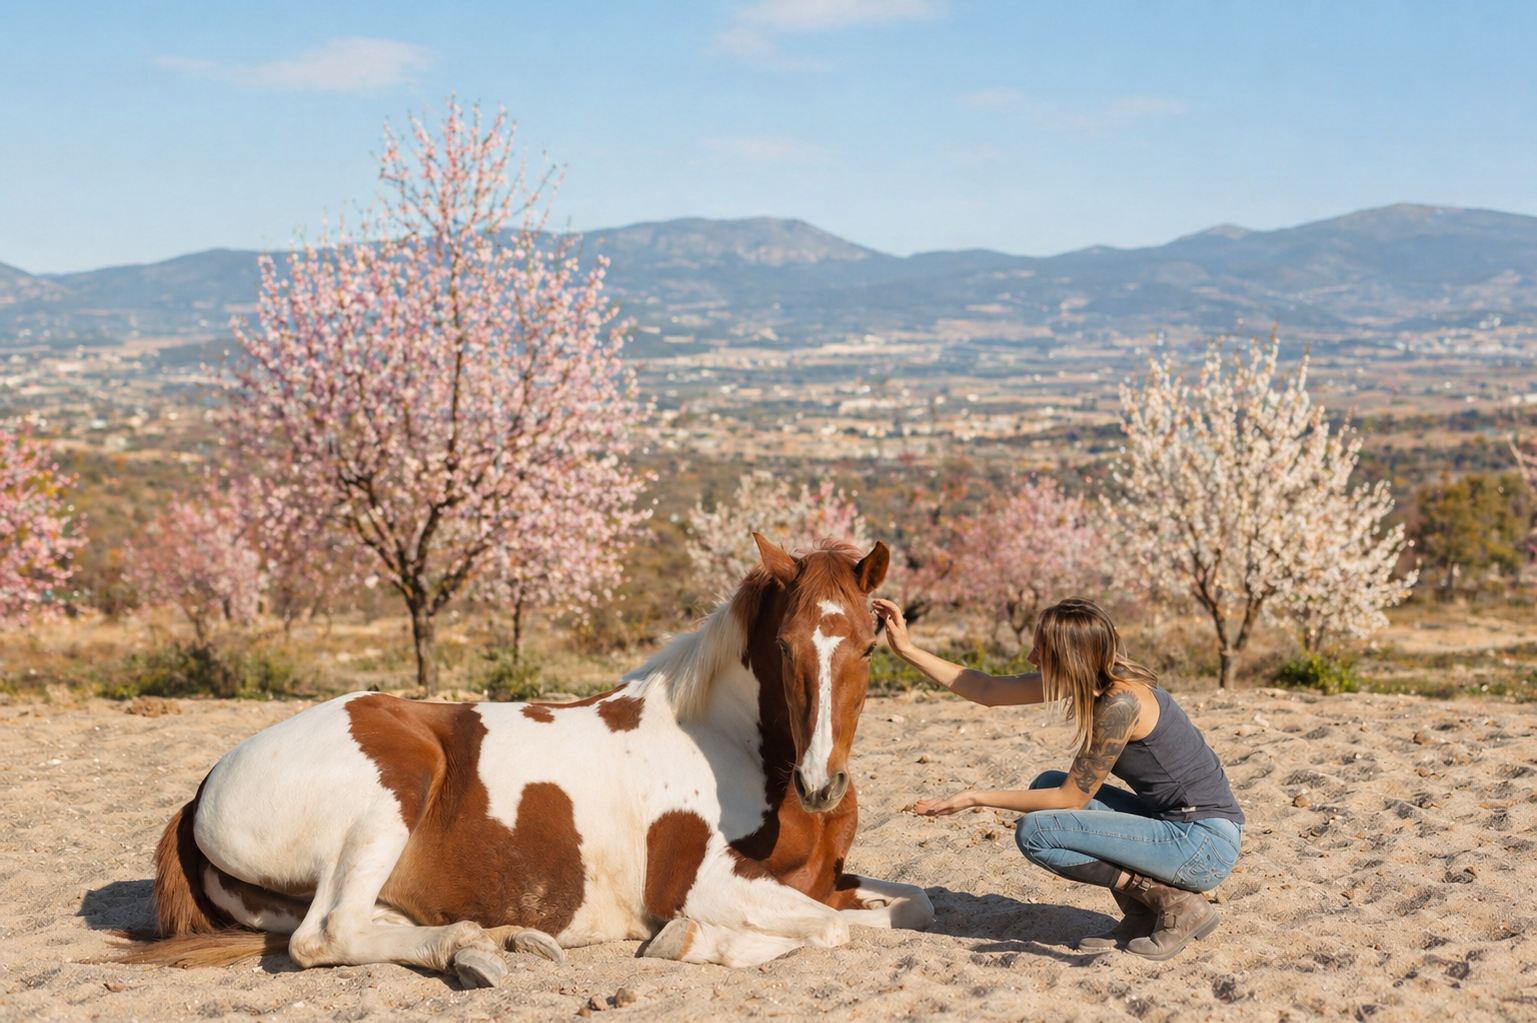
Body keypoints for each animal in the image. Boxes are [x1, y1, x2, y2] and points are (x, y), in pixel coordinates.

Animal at [119, 534, 933, 986]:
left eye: (868, 645)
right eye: (786, 646)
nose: (821, 784)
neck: (736, 748)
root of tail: (199, 795)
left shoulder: (823, 880)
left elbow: (912, 907)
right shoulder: (701, 883)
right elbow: (827, 929)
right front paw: (684, 940)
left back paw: (496, 942)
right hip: (392, 792)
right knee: (327, 936)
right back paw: (473, 946)